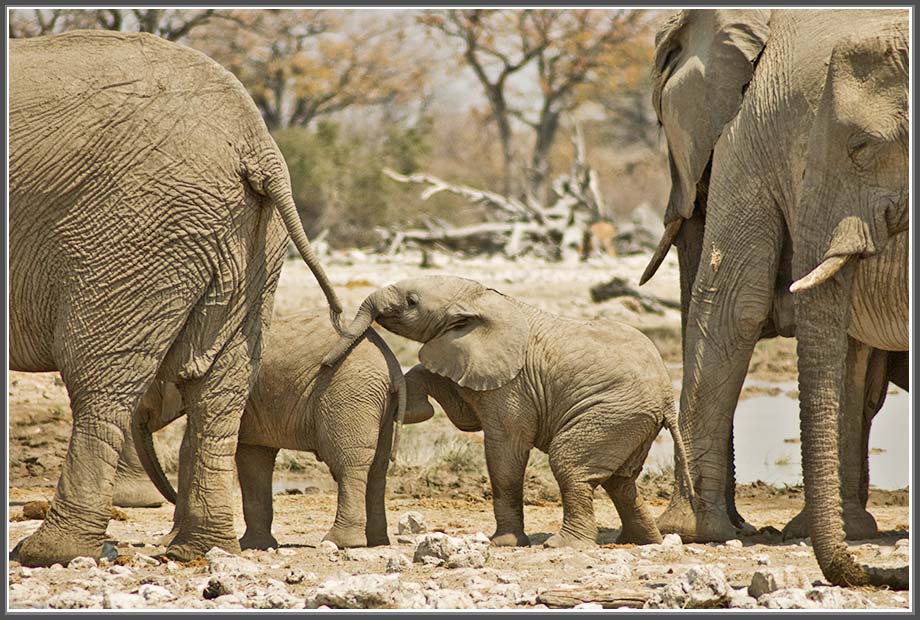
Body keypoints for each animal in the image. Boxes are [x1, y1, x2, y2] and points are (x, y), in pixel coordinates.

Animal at [9, 32, 342, 568]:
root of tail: (256, 143)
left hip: (132, 228)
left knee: (99, 381)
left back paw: (46, 552)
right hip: (244, 239)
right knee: (219, 390)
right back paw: (200, 549)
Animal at [132, 310, 402, 548]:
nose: (171, 496)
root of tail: (392, 366)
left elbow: (189, 450)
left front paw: (167, 541)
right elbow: (254, 458)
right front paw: (255, 545)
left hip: (349, 393)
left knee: (347, 465)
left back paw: (340, 542)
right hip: (374, 402)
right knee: (377, 470)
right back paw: (377, 542)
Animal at [324, 276, 688, 548]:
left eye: (411, 301)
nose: (327, 363)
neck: (479, 297)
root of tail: (667, 398)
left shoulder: (513, 385)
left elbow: (505, 449)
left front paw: (503, 543)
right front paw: (414, 406)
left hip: (610, 412)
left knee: (570, 465)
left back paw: (562, 545)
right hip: (628, 420)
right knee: (621, 482)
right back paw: (640, 541)